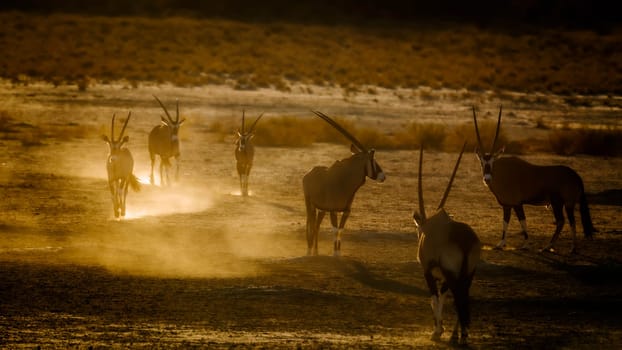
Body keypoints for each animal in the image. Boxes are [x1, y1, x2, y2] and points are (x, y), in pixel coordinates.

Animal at [302, 110, 386, 256]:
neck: (345, 180)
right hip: (310, 205)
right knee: (310, 224)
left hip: (321, 209)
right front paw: (335, 254)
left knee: (316, 225)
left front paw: (338, 253)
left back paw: (316, 252)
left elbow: (340, 231)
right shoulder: (333, 211)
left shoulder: (346, 211)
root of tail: (309, 173)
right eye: (373, 160)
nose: (383, 176)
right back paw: (309, 251)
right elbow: (335, 230)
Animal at [414, 143, 482, 344]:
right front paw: (442, 328)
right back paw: (460, 334)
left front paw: (437, 330)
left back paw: (460, 335)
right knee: (463, 296)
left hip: (452, 274)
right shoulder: (443, 277)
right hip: (468, 273)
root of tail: (464, 240)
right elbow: (443, 297)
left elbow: (434, 298)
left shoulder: (429, 271)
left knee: (459, 296)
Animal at [476, 105, 596, 253]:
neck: (503, 173)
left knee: (564, 221)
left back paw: (558, 247)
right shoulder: (507, 205)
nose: (487, 178)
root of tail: (576, 176)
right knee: (568, 221)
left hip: (560, 203)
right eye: (482, 162)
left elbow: (523, 221)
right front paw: (501, 244)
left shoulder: (517, 204)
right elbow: (505, 222)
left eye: (493, 162)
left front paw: (525, 244)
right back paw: (561, 247)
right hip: (566, 204)